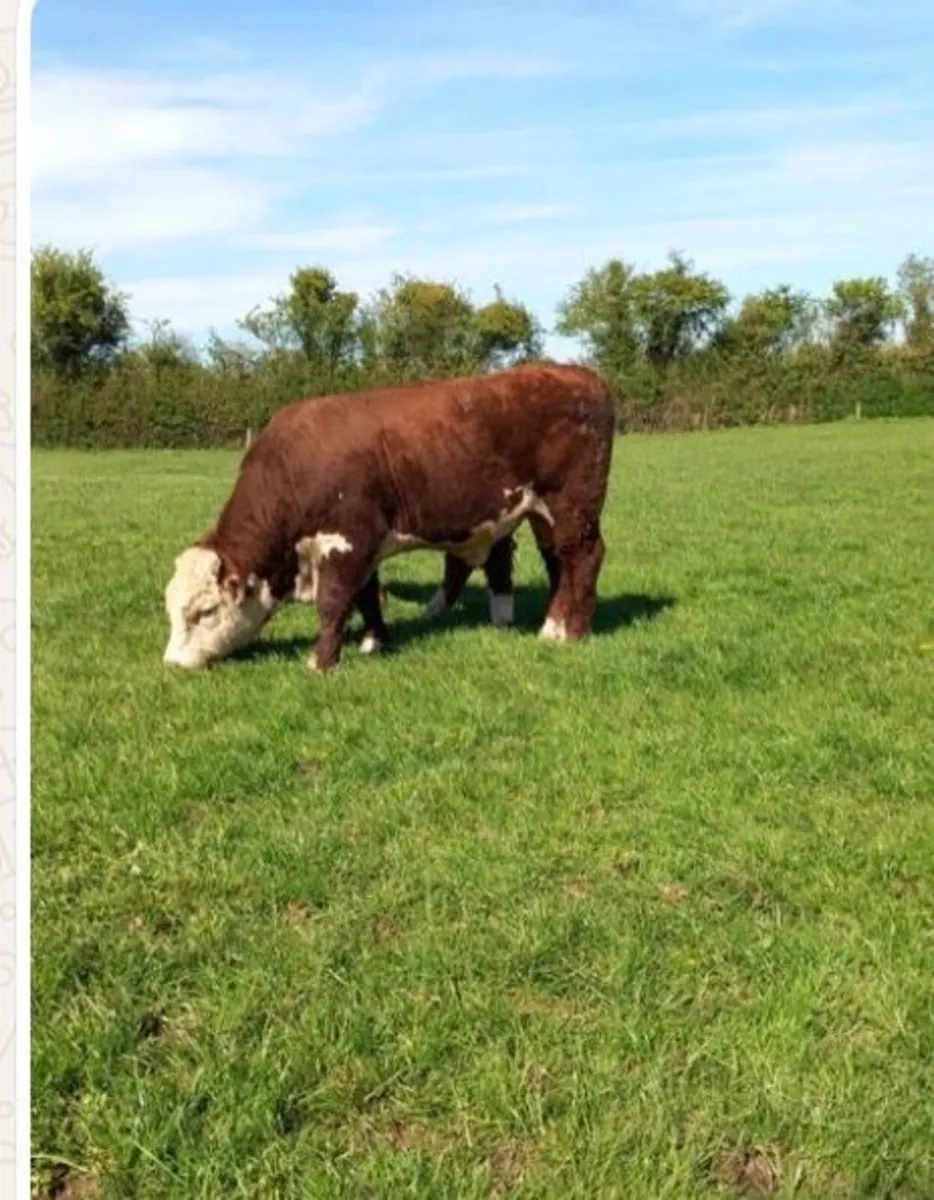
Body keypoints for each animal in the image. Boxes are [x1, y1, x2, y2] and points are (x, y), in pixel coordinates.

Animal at [163, 362, 615, 673]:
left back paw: (574, 632)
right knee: (559, 563)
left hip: (572, 505)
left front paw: (321, 662)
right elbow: (366, 596)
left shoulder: (348, 540)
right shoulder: (364, 546)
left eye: (204, 611)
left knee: (584, 558)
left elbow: (334, 602)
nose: (172, 663)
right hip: (544, 514)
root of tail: (576, 373)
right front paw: (374, 642)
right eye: (170, 607)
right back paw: (553, 626)